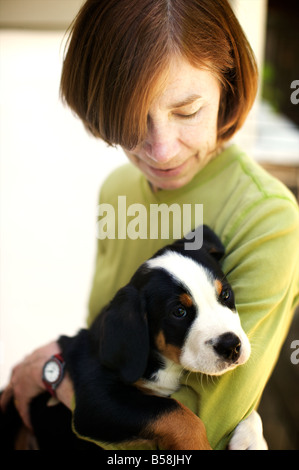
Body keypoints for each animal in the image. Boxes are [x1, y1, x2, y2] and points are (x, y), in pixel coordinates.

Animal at [56, 226, 253, 450]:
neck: (164, 364)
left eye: (225, 294)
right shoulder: (96, 397)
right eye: (179, 312)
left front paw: (249, 436)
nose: (231, 346)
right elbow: (175, 413)